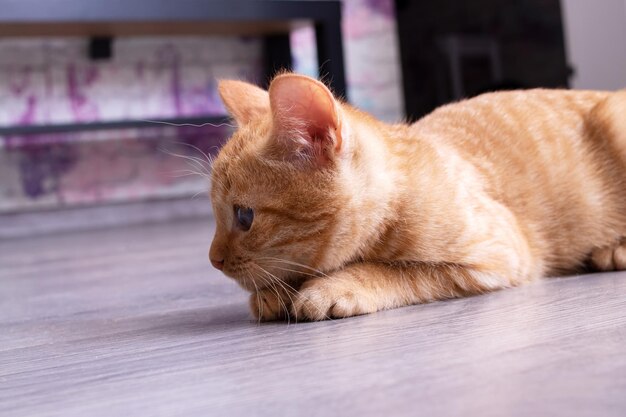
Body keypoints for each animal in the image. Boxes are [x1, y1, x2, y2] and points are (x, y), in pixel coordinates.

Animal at [208, 73, 624, 320]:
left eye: (244, 216)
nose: (213, 260)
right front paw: (275, 293)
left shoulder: (498, 256)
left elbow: (397, 271)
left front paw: (335, 285)